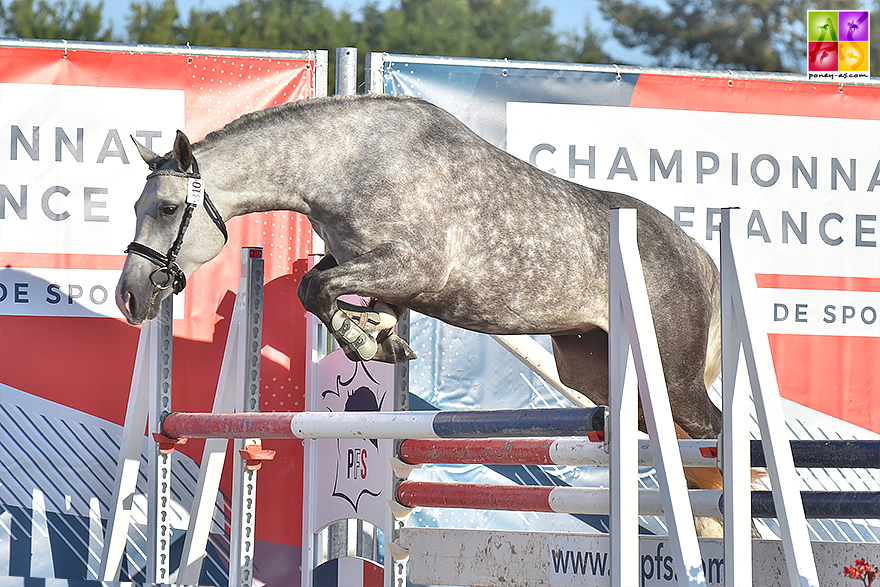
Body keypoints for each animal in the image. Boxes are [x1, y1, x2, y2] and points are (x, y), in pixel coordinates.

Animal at [117, 93, 720, 440]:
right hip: (594, 371)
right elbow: (319, 289)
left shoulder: (416, 269)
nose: (130, 296)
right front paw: (377, 335)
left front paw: (369, 341)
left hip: (674, 378)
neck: (348, 164)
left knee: (710, 432)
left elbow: (317, 288)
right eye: (136, 207)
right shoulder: (366, 262)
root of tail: (694, 252)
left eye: (166, 209)